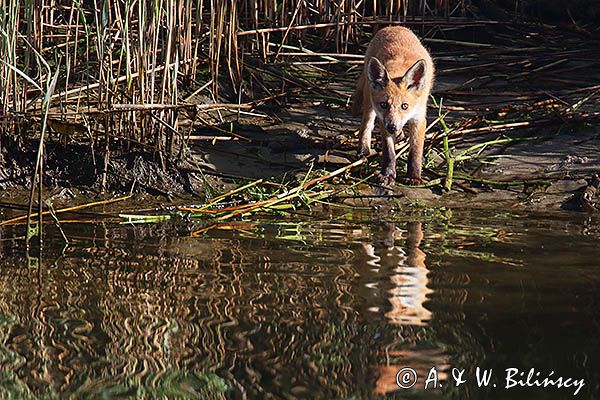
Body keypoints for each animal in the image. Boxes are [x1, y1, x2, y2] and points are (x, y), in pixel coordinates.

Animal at [352, 26, 432, 186]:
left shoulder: (419, 118)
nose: (392, 127)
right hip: (369, 100)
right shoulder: (383, 119)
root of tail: (394, 27)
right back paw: (364, 149)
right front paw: (388, 174)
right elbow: (389, 153)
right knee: (366, 124)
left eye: (405, 106)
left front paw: (414, 176)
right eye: (384, 104)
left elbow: (415, 152)